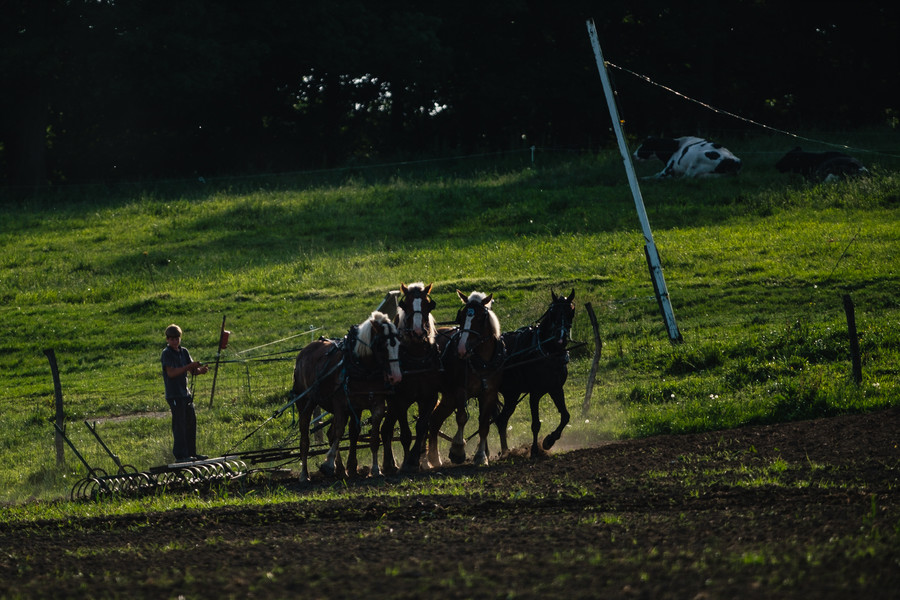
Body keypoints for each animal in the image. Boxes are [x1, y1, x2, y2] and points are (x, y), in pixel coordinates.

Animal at [292, 312, 400, 480]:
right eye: (382, 346)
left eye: (399, 344)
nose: (395, 377)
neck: (361, 366)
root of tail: (304, 351)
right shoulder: (340, 404)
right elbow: (339, 432)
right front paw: (328, 464)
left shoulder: (376, 404)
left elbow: (374, 437)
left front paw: (375, 469)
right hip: (305, 402)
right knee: (305, 438)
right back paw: (305, 474)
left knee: (330, 433)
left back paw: (341, 470)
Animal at [380, 282, 440, 474]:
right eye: (404, 305)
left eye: (428, 305)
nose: (418, 332)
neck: (417, 358)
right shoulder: (400, 400)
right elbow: (405, 434)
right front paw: (407, 463)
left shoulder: (429, 397)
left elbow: (421, 427)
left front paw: (416, 459)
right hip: (391, 402)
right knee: (386, 430)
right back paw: (389, 464)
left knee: (387, 428)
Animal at [428, 290, 502, 468]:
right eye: (461, 316)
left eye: (481, 317)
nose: (461, 349)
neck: (481, 361)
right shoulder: (461, 390)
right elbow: (461, 418)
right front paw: (458, 450)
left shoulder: (489, 393)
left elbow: (484, 425)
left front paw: (481, 457)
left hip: (449, 397)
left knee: (434, 421)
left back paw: (434, 459)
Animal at [492, 288, 576, 458]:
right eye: (553, 313)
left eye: (571, 311)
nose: (561, 337)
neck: (546, 351)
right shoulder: (535, 393)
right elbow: (535, 424)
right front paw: (535, 450)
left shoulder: (556, 388)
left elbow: (565, 416)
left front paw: (549, 440)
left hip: (512, 394)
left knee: (501, 420)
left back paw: (505, 451)